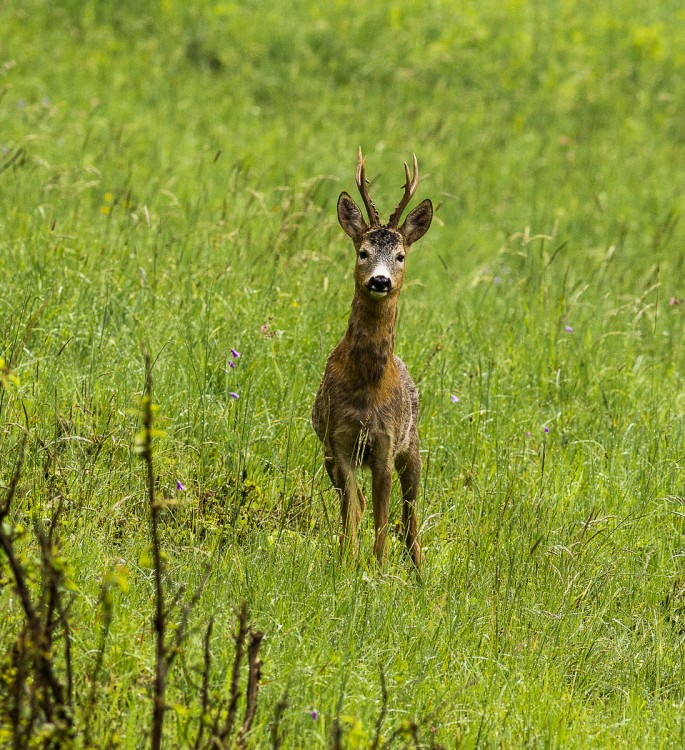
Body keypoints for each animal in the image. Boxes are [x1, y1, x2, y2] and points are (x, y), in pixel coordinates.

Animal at [312, 147, 432, 568]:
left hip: (412, 446)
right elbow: (352, 517)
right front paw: (346, 566)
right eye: (363, 252)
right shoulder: (340, 443)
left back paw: (418, 573)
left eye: (400, 255)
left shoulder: (384, 446)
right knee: (361, 505)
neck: (367, 385)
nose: (379, 281)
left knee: (410, 521)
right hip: (330, 456)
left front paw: (377, 572)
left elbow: (382, 526)